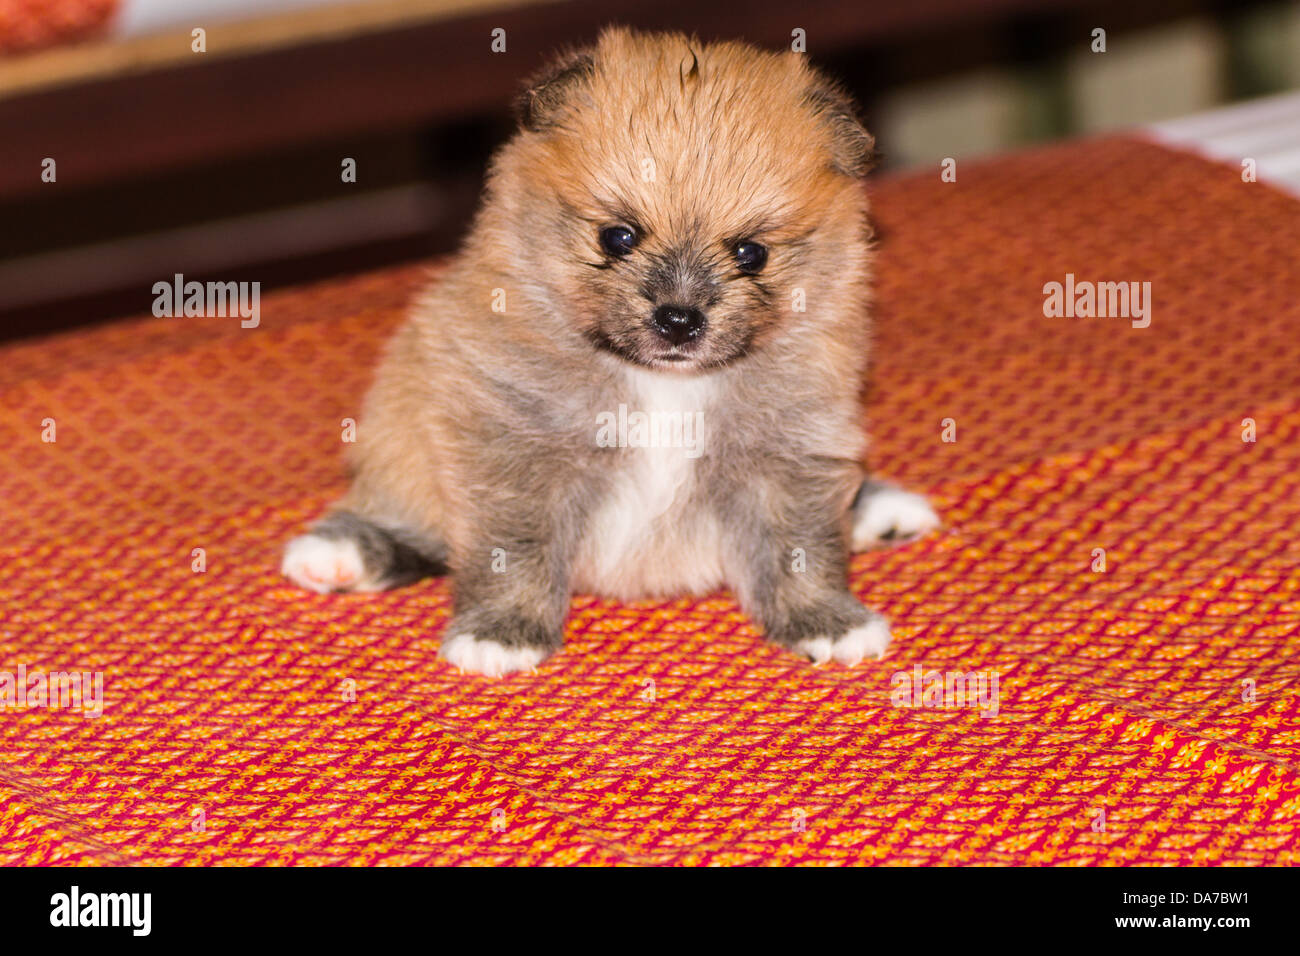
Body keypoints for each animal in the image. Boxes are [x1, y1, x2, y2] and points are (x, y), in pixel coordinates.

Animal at [284, 26, 941, 676]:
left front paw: (826, 620)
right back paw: (338, 552)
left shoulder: (792, 449)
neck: (664, 383)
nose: (679, 319)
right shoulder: (512, 447)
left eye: (752, 254)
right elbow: (512, 547)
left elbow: (800, 546)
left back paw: (880, 512)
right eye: (618, 237)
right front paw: (502, 633)